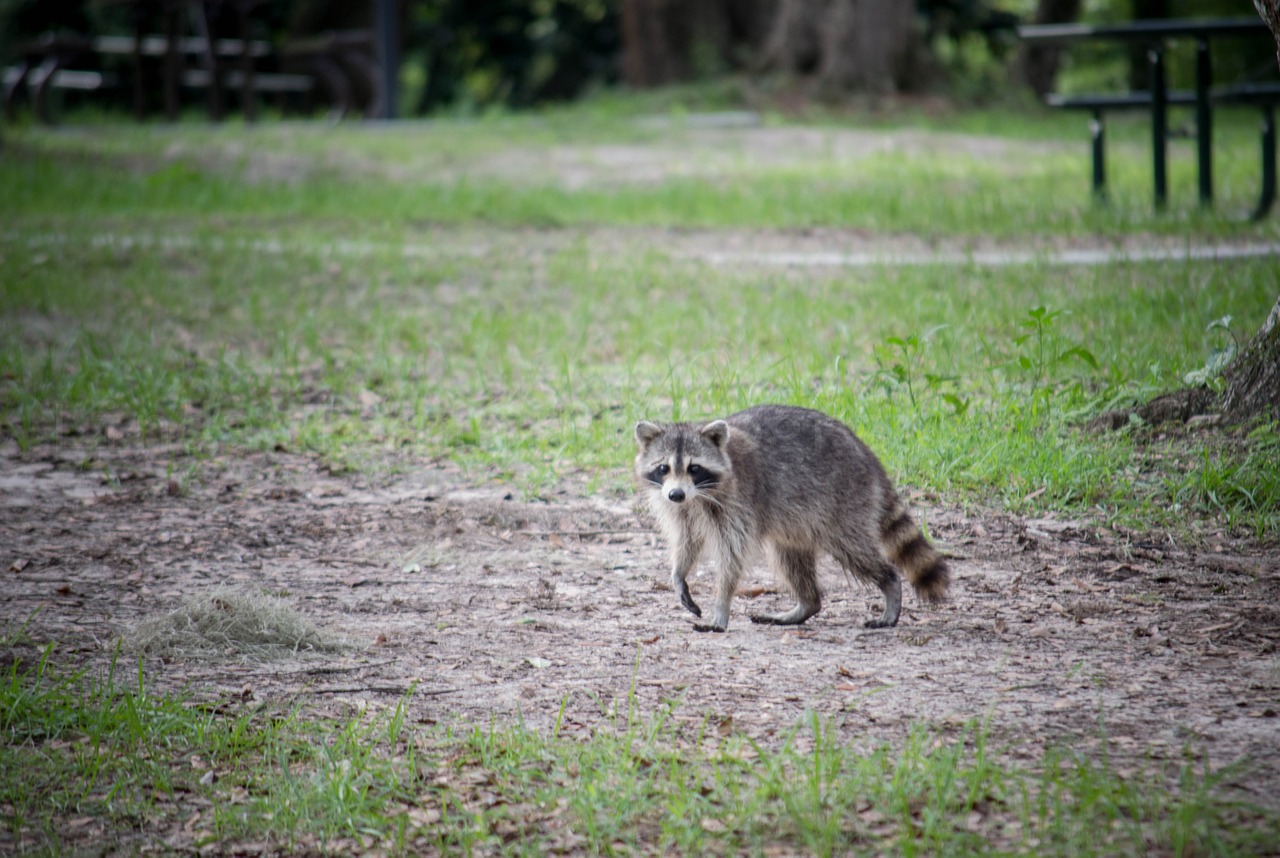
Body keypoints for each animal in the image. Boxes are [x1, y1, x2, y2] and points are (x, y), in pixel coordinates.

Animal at [632, 404, 947, 632]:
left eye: (694, 468)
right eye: (663, 468)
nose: (676, 494)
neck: (698, 495)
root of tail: (868, 455)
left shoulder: (739, 501)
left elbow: (732, 558)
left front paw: (721, 607)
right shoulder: (682, 509)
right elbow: (688, 540)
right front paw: (679, 574)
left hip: (844, 502)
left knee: (853, 549)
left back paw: (890, 585)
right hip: (799, 522)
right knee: (790, 557)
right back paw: (807, 604)